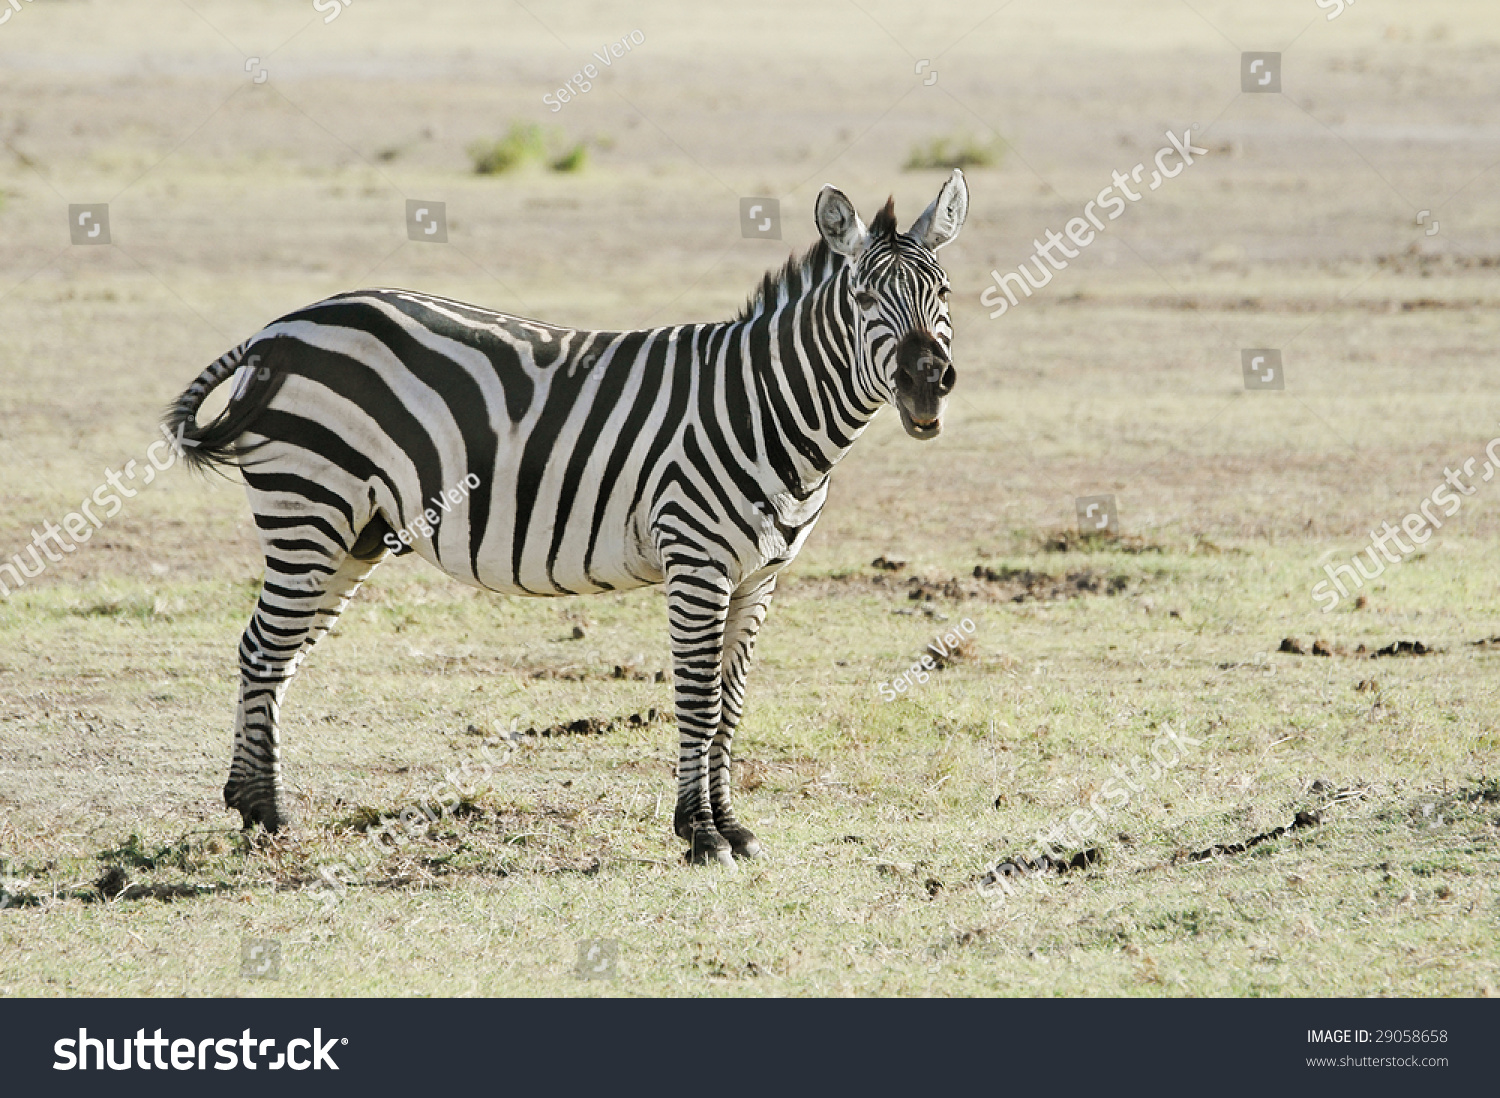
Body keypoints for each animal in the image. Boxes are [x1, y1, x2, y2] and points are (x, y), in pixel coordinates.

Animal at [161, 171, 960, 864]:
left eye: (943, 290)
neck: (765, 407)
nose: (928, 380)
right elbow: (698, 700)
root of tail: (278, 331)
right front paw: (700, 835)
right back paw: (268, 812)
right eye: (864, 298)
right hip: (309, 507)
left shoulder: (760, 575)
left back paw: (251, 803)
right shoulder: (695, 560)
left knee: (276, 653)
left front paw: (731, 826)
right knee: (263, 648)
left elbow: (731, 703)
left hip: (352, 532)